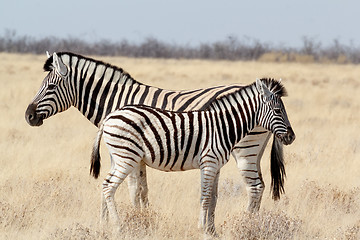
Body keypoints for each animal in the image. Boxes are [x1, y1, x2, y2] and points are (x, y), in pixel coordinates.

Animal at [24, 51, 284, 217]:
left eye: (50, 86)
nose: (29, 116)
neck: (118, 101)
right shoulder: (135, 155)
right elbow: (142, 189)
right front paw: (138, 219)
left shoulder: (129, 154)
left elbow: (133, 189)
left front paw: (132, 220)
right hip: (255, 151)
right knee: (259, 186)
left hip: (245, 150)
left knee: (255, 187)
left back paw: (248, 223)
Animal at [90, 78, 296, 234]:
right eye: (278, 111)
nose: (291, 137)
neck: (223, 126)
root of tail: (110, 116)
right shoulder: (209, 163)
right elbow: (204, 197)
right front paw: (202, 228)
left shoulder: (215, 166)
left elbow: (212, 197)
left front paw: (210, 231)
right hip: (126, 157)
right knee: (109, 186)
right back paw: (118, 226)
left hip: (119, 157)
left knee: (105, 185)